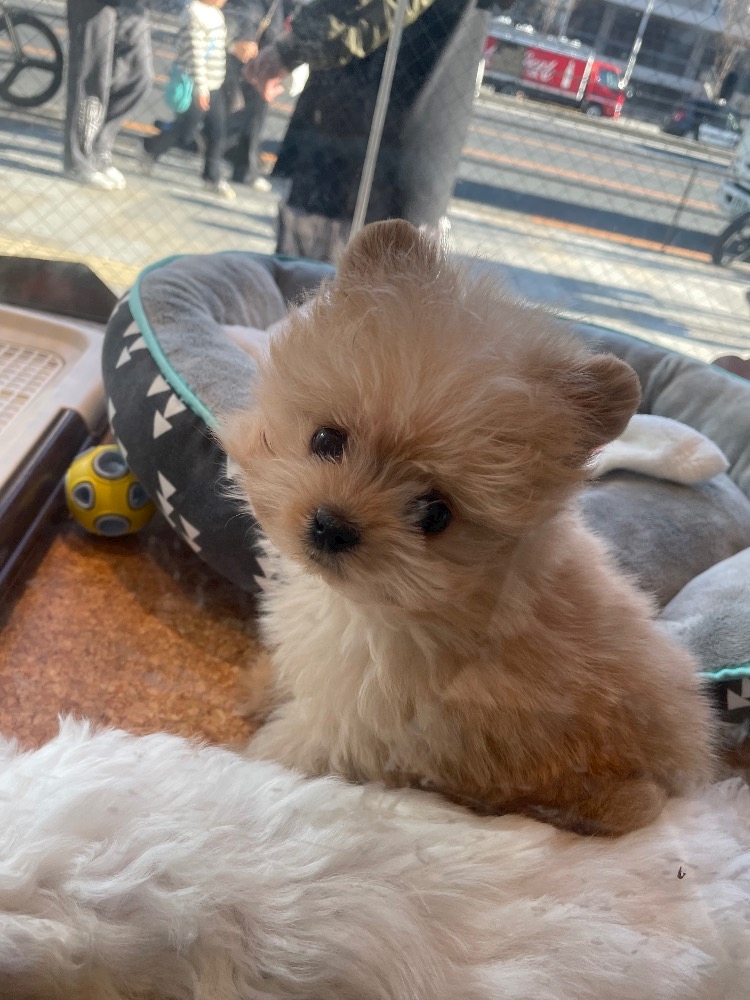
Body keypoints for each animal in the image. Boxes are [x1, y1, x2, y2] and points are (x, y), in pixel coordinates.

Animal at [220, 219, 715, 836]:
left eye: (435, 514)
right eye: (327, 440)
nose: (332, 526)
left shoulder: (360, 722)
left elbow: (291, 744)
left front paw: (248, 760)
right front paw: (257, 687)